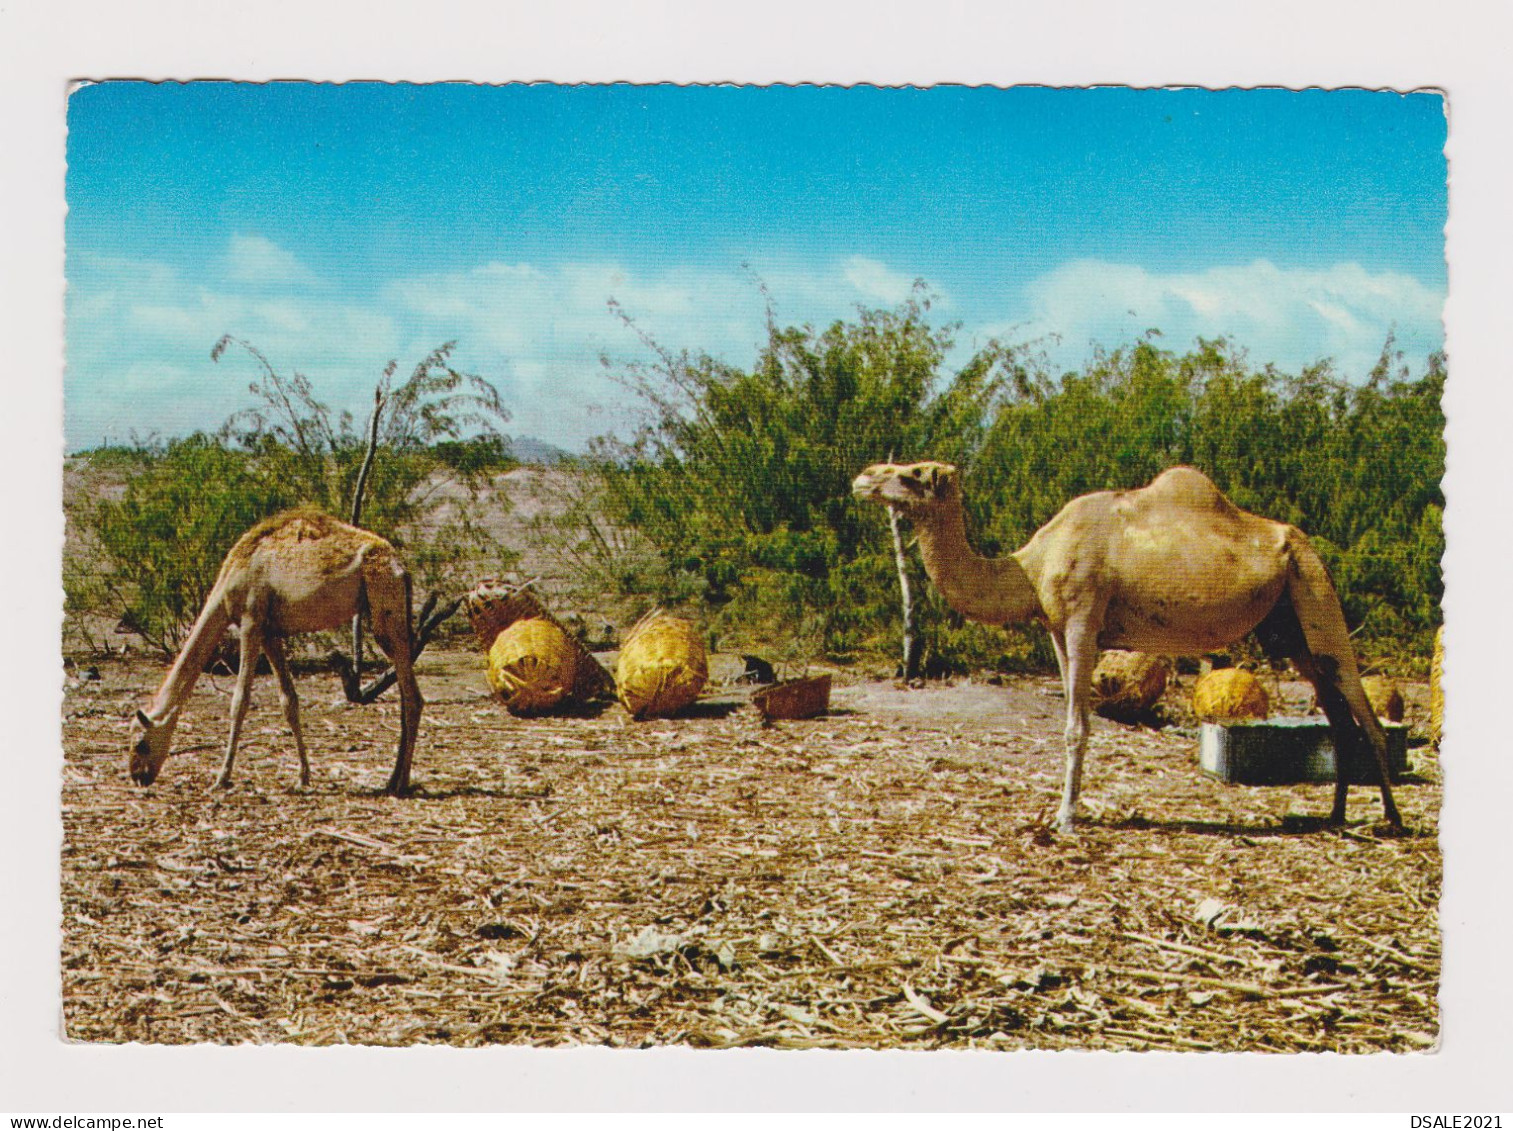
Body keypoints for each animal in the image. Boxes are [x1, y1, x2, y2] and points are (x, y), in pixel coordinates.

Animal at [127, 505, 423, 792]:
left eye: (140, 744)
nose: (137, 776)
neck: (229, 581)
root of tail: (402, 567)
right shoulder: (271, 633)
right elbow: (288, 701)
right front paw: (303, 777)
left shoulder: (251, 621)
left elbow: (240, 701)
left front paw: (221, 778)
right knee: (407, 696)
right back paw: (392, 779)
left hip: (385, 608)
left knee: (412, 697)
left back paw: (400, 782)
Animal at [859, 459, 1398, 828]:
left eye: (911, 474)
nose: (863, 477)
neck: (1032, 565)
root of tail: (1304, 543)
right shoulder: (1057, 628)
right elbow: (1072, 718)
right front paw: (1066, 809)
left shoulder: (1083, 619)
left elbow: (1077, 727)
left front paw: (1066, 818)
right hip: (1287, 628)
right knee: (1336, 712)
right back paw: (1336, 814)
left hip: (1314, 589)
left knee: (1360, 704)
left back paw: (1390, 819)